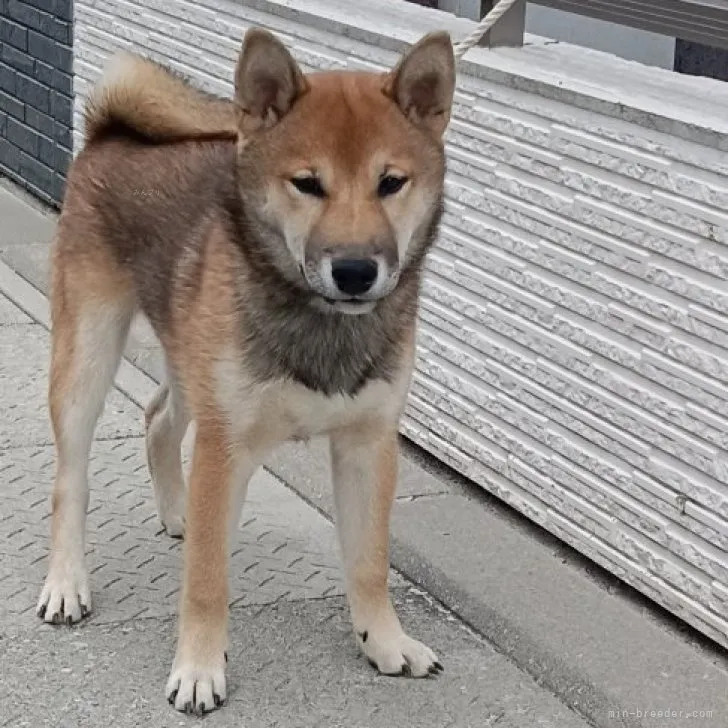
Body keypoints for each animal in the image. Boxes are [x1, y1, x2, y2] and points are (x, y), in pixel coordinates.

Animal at [38, 25, 456, 712]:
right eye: (307, 184)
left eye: (391, 182)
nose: (355, 270)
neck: (319, 320)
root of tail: (109, 132)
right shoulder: (226, 442)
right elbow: (207, 582)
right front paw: (199, 669)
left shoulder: (368, 443)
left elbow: (369, 562)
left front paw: (385, 642)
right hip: (89, 356)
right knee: (71, 480)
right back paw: (68, 582)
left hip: (192, 362)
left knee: (158, 419)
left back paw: (179, 513)